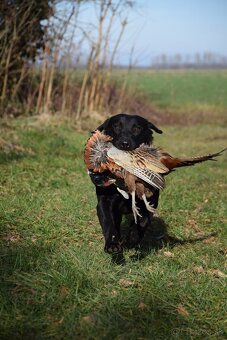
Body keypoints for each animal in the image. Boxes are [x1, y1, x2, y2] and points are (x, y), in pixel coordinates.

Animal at [89, 113, 163, 254]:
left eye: (137, 128)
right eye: (116, 126)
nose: (124, 143)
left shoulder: (151, 201)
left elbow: (143, 220)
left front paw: (133, 236)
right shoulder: (104, 201)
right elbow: (108, 221)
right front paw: (112, 244)